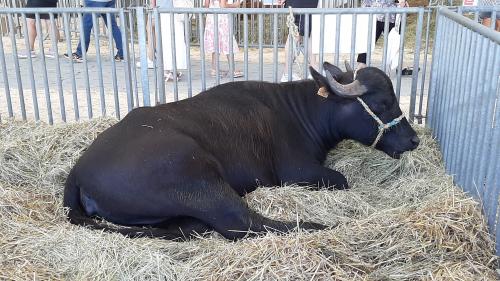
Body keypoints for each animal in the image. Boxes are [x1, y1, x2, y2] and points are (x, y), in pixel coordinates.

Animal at [64, 61, 420, 238]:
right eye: (382, 103)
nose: (414, 141)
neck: (302, 113)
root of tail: (79, 169)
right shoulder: (298, 171)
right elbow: (342, 180)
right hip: (197, 179)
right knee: (239, 222)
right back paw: (317, 227)